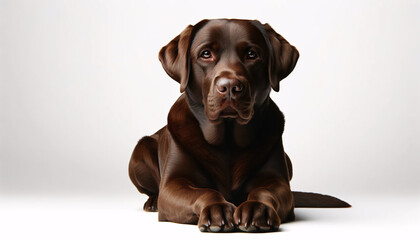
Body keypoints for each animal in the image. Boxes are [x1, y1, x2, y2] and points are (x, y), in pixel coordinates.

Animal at [129, 18, 352, 232]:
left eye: (252, 54)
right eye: (206, 54)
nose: (229, 87)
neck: (228, 141)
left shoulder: (278, 182)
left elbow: (263, 190)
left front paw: (256, 209)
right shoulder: (174, 184)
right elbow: (204, 192)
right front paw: (216, 209)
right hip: (140, 152)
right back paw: (153, 201)